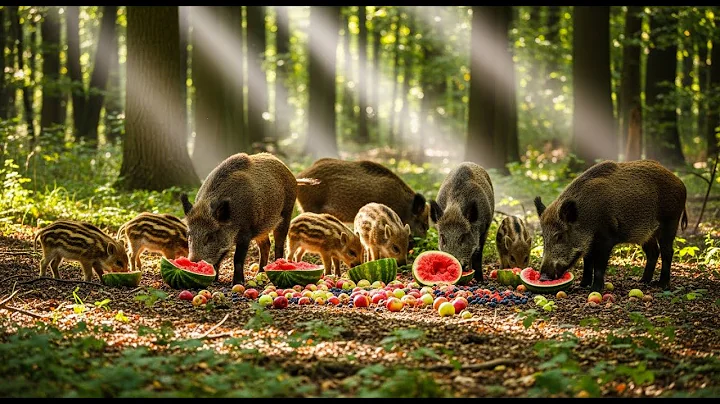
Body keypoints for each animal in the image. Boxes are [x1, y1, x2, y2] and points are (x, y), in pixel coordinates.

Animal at [180, 152, 318, 285]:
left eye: (210, 236)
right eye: (189, 235)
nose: (193, 262)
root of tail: (292, 175)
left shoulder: (245, 231)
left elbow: (237, 258)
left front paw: (237, 282)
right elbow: (220, 257)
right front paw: (214, 279)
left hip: (286, 213)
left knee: (278, 245)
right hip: (261, 227)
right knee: (266, 245)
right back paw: (260, 273)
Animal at [534, 159, 688, 292]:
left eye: (559, 236)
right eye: (543, 237)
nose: (543, 277)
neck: (586, 218)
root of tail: (680, 183)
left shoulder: (606, 238)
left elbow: (598, 265)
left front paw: (595, 289)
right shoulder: (589, 244)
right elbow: (587, 263)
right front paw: (582, 285)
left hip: (670, 222)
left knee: (668, 251)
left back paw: (662, 285)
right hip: (647, 234)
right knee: (653, 252)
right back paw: (642, 281)